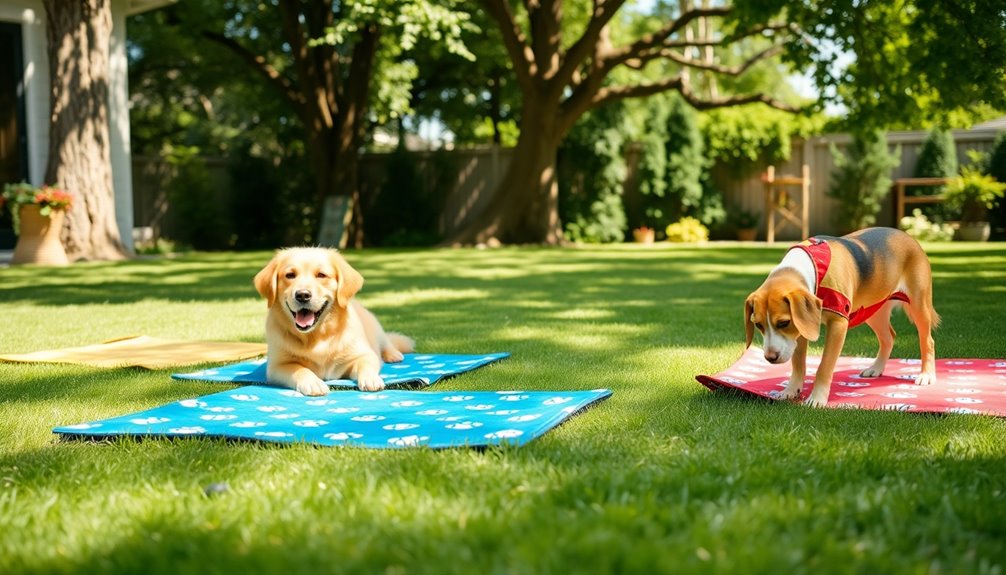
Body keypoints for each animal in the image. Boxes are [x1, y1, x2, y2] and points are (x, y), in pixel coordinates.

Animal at [253, 247, 414, 396]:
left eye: (321, 275)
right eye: (290, 275)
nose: (302, 295)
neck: (316, 335)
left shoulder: (364, 354)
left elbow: (366, 363)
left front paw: (371, 378)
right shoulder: (277, 366)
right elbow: (299, 369)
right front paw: (313, 383)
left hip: (375, 326)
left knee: (386, 341)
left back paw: (393, 354)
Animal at [744, 227, 937, 406]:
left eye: (783, 323)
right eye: (759, 325)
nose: (770, 358)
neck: (814, 270)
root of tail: (906, 235)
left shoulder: (837, 324)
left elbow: (824, 366)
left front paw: (817, 399)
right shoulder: (802, 328)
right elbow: (798, 363)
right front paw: (791, 390)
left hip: (919, 304)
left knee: (927, 341)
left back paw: (926, 375)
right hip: (873, 310)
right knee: (888, 337)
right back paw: (876, 368)